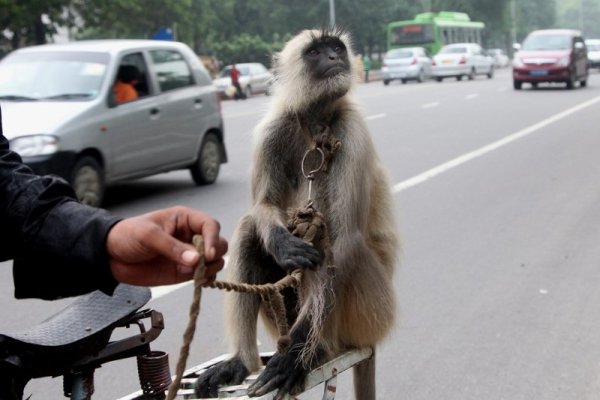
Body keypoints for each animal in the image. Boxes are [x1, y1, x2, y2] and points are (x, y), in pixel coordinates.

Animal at [196, 28, 398, 400]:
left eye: (336, 49)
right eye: (316, 52)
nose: (334, 58)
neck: (316, 121)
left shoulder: (352, 131)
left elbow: (344, 240)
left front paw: (292, 357)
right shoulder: (274, 130)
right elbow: (263, 207)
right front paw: (282, 243)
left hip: (371, 313)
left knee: (327, 243)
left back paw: (311, 351)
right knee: (250, 229)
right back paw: (241, 362)